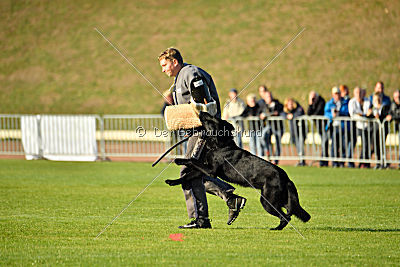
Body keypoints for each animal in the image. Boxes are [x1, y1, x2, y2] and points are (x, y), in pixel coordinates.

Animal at [166, 112, 310, 231]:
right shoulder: (203, 171)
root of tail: (286, 177)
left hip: (268, 201)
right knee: (290, 213)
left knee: (286, 217)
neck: (220, 145)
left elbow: (192, 160)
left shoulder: (210, 171)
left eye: (211, 120)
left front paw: (179, 160)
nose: (201, 111)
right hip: (281, 200)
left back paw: (276, 229)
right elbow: (187, 175)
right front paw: (172, 180)